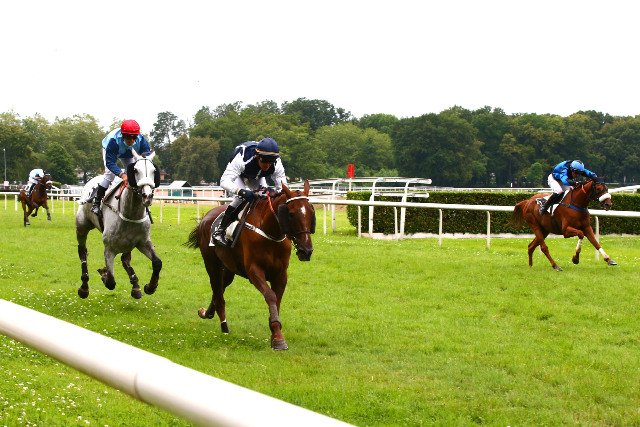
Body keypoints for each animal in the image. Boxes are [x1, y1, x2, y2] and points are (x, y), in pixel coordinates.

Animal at [75, 151, 162, 299]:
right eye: (135, 170)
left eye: (154, 171)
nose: (147, 196)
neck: (131, 213)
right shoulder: (109, 248)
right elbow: (110, 281)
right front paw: (104, 273)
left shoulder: (142, 242)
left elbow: (157, 263)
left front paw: (150, 287)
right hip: (82, 226)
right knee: (82, 252)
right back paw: (84, 287)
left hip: (128, 243)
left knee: (125, 259)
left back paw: (136, 286)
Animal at [185, 180, 316, 350]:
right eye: (291, 214)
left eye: (311, 212)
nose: (306, 251)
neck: (270, 232)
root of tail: (206, 217)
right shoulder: (254, 271)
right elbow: (270, 296)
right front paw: (278, 338)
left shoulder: (281, 274)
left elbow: (277, 300)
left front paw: (275, 333)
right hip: (211, 264)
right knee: (218, 291)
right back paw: (224, 326)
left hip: (229, 268)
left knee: (220, 287)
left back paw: (207, 313)